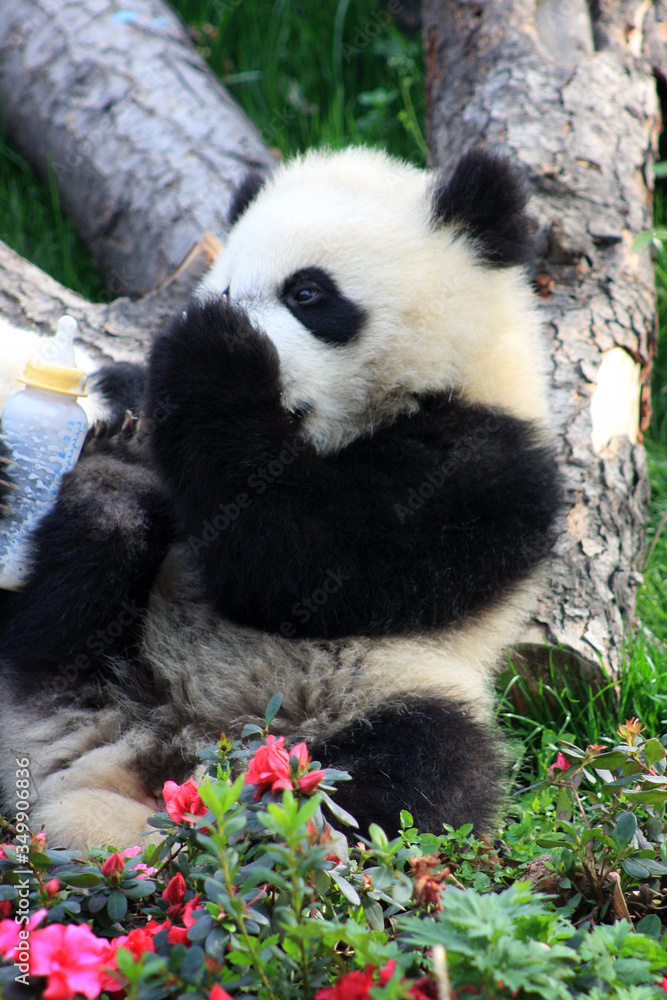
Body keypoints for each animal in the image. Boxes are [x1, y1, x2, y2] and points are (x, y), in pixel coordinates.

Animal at [0, 146, 561, 851]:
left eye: (307, 293)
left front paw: (215, 354)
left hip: (380, 693)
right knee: (53, 621)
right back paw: (109, 492)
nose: (227, 315)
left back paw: (264, 822)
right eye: (225, 287)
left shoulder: (490, 467)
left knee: (422, 769)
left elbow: (309, 560)